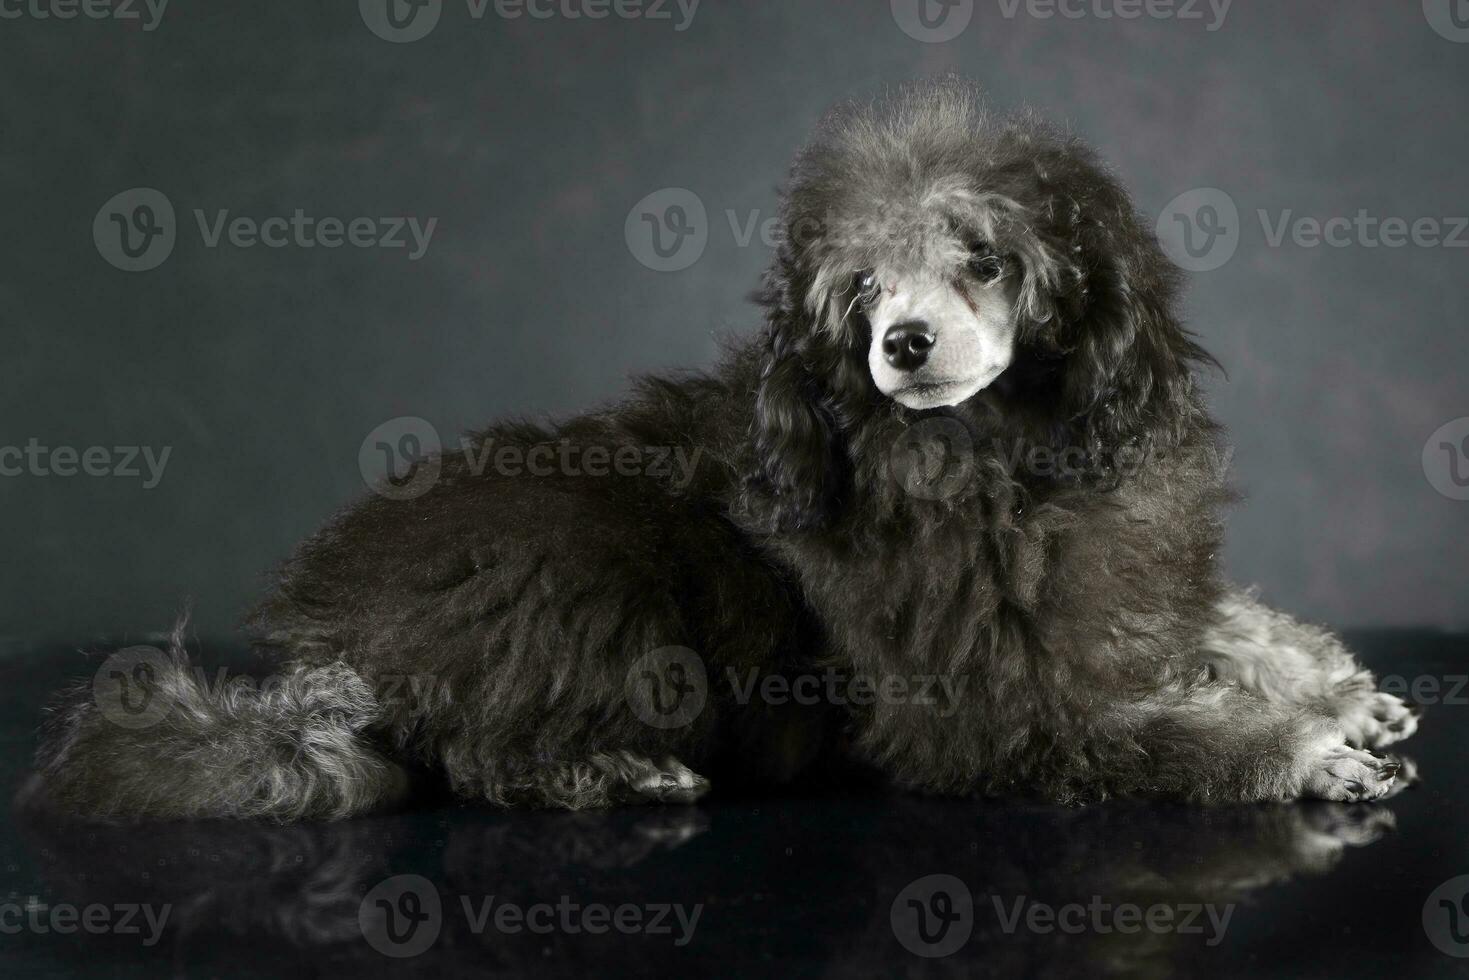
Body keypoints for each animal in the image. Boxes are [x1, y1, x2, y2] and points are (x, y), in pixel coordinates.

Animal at [31, 80, 1410, 822]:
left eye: (982, 256)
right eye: (861, 287)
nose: (901, 342)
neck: (996, 458)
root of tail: (339, 638)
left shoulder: (1102, 602)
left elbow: (1215, 627)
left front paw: (1334, 683)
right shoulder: (982, 712)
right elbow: (1158, 733)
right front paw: (1301, 744)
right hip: (574, 571)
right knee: (478, 748)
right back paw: (613, 769)